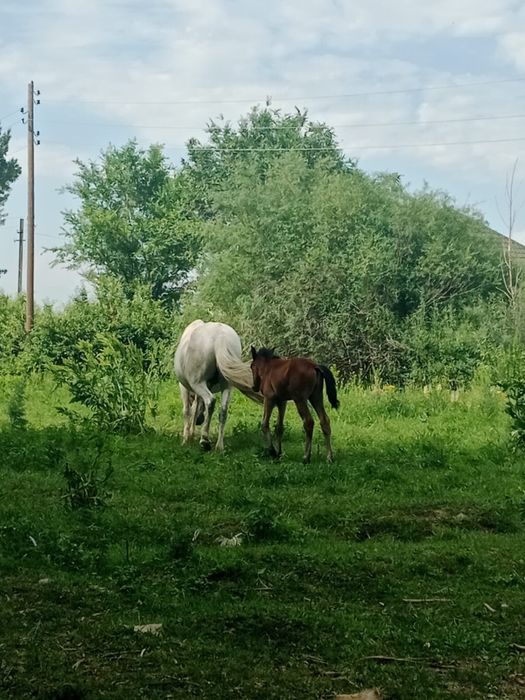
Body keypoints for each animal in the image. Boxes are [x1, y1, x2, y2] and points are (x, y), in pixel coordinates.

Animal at [174, 320, 262, 451]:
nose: (199, 421)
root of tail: (220, 338)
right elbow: (195, 408)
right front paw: (191, 435)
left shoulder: (184, 387)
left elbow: (187, 411)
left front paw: (186, 439)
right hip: (226, 385)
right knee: (223, 411)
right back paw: (219, 446)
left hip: (198, 383)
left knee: (210, 401)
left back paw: (205, 440)